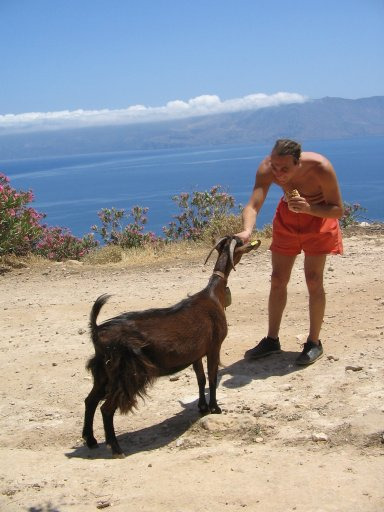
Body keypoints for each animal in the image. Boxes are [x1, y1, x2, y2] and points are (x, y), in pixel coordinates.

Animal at [81, 236, 260, 456]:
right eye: (240, 241)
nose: (254, 241)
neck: (213, 295)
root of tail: (98, 331)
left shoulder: (196, 354)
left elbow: (200, 379)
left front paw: (202, 408)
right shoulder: (214, 346)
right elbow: (212, 377)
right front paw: (215, 408)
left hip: (103, 372)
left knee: (90, 401)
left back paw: (91, 440)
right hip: (125, 374)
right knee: (106, 408)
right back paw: (116, 448)